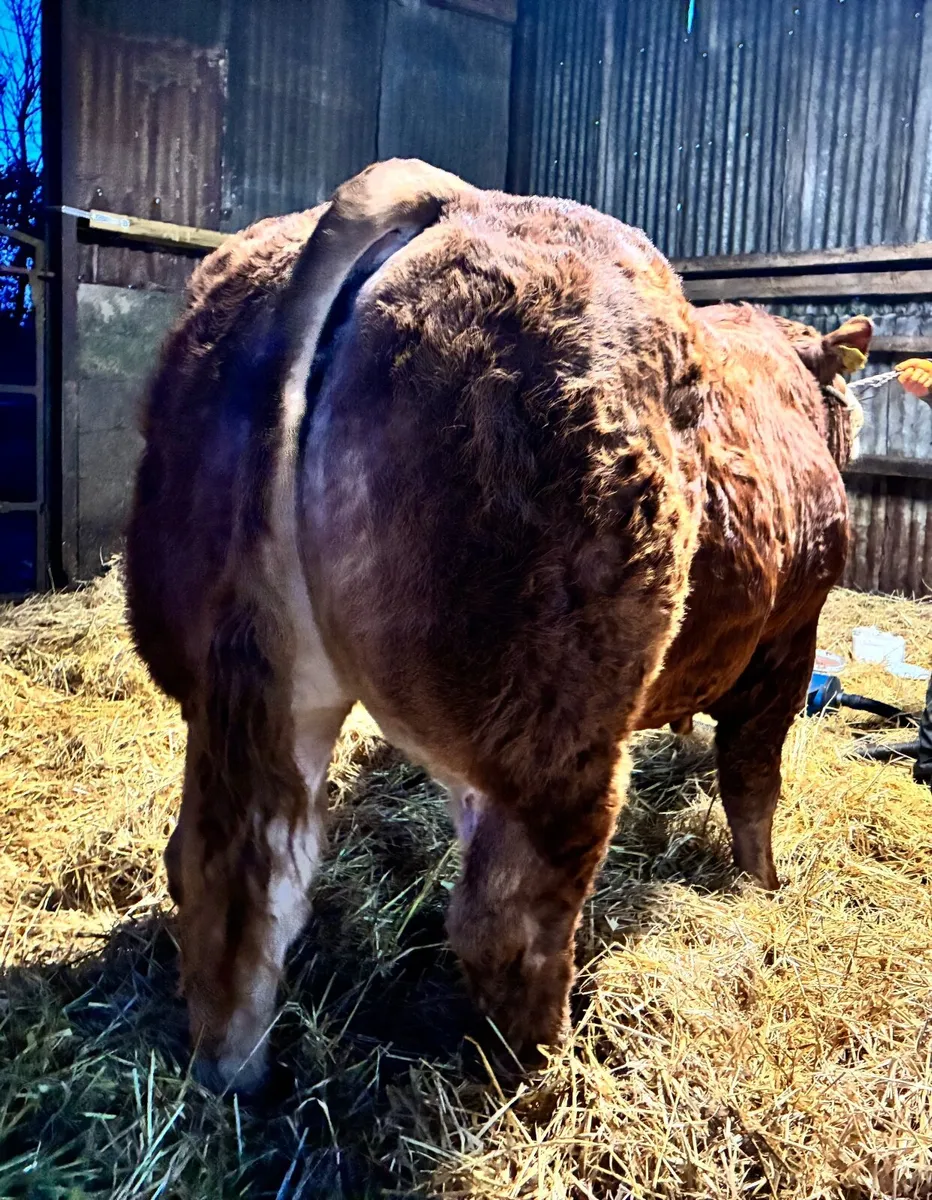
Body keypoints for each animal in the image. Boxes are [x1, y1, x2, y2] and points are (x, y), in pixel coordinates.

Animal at [126, 159, 873, 1092]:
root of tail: (432, 194)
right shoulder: (789, 635)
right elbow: (753, 780)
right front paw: (764, 887)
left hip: (238, 677)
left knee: (233, 869)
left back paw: (236, 1075)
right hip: (548, 722)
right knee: (508, 925)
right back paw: (552, 1075)